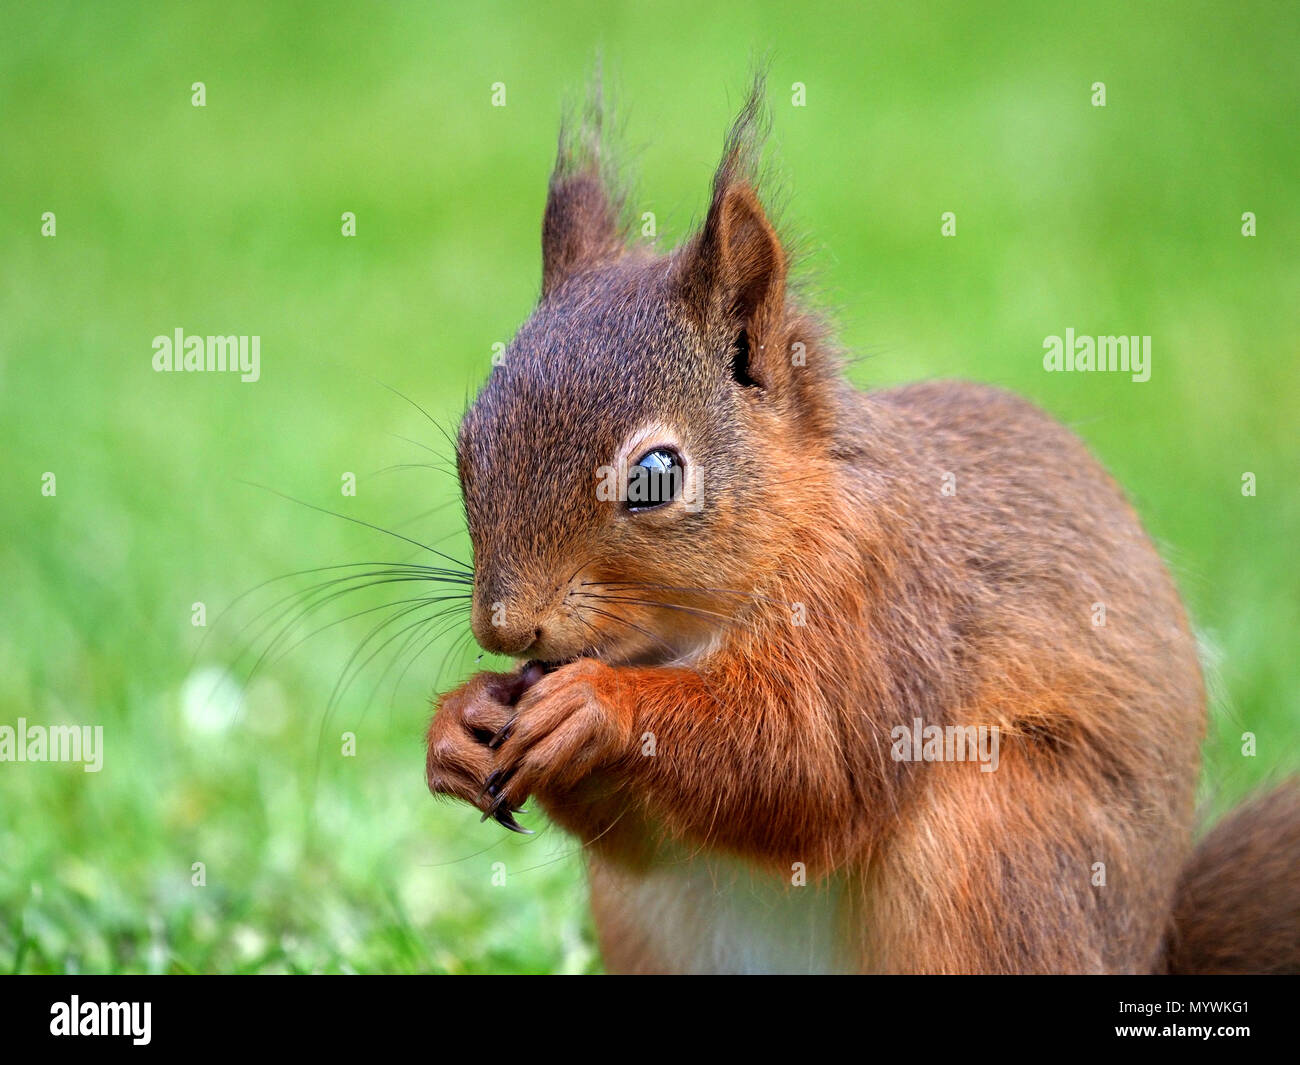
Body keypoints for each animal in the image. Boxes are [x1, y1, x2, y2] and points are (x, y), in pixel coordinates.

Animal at [421, 77, 1294, 972]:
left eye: (656, 474)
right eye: (467, 445)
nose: (505, 628)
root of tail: (1144, 948)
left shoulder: (882, 602)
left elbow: (812, 763)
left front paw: (594, 704)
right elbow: (644, 837)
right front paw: (456, 722)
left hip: (998, 846)